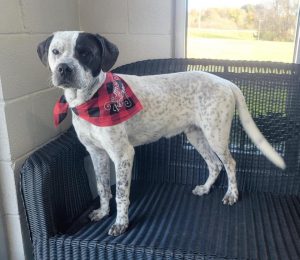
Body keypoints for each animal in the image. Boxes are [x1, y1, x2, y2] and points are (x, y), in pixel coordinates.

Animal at [36, 31, 284, 237]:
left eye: (86, 53)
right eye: (55, 52)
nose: (64, 69)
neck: (90, 100)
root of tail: (226, 82)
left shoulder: (123, 155)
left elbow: (121, 194)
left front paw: (121, 224)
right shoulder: (96, 153)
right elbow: (103, 187)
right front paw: (103, 212)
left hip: (216, 134)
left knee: (230, 163)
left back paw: (232, 195)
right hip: (196, 135)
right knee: (214, 164)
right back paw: (205, 188)